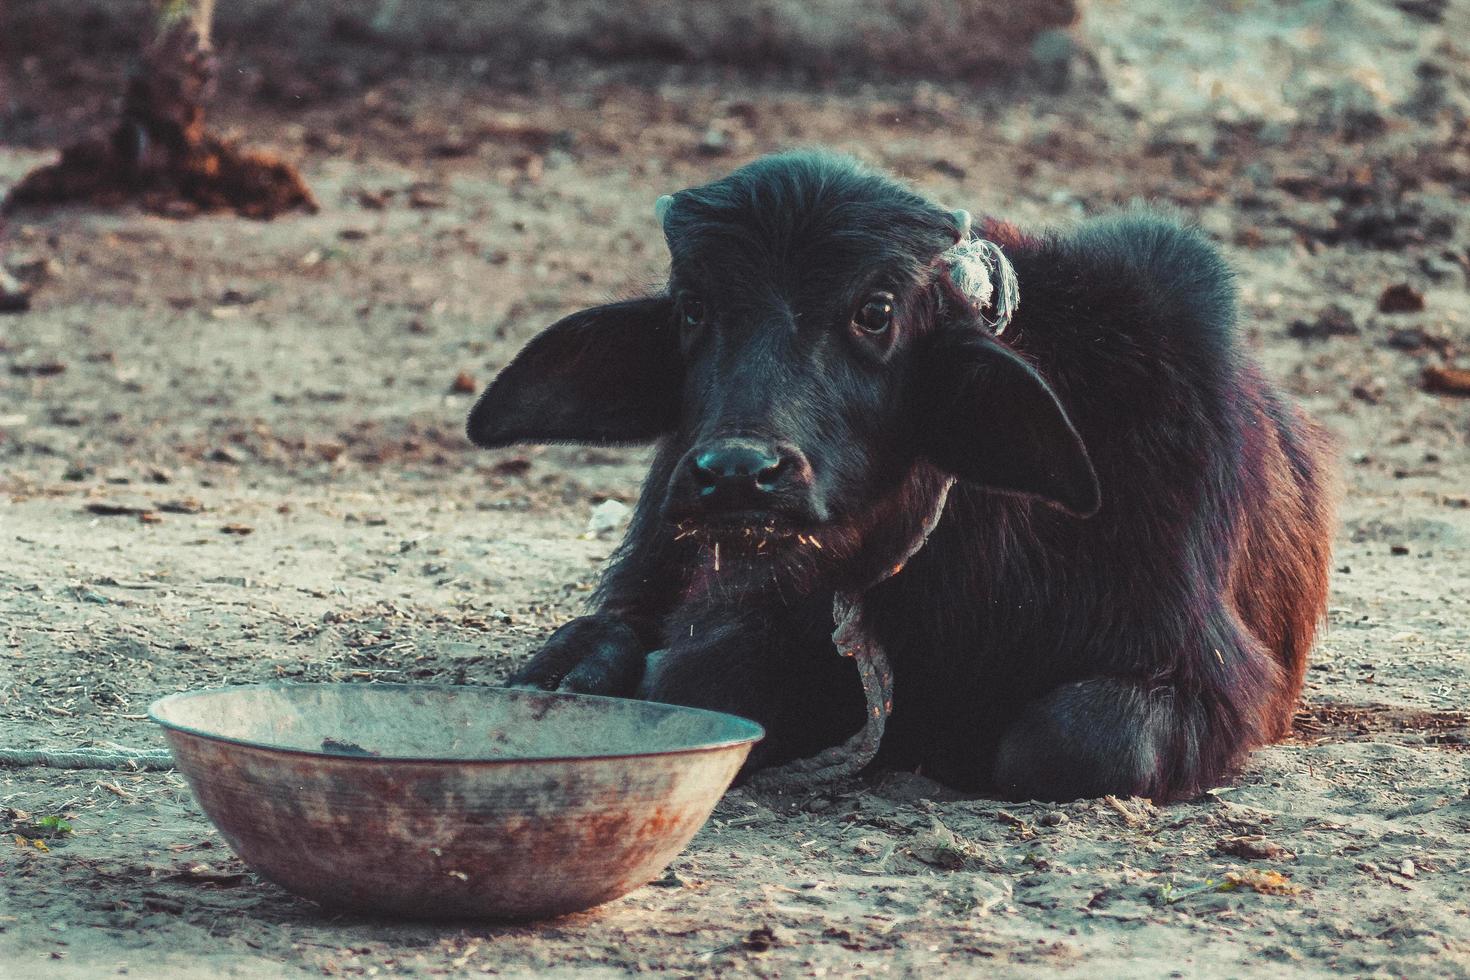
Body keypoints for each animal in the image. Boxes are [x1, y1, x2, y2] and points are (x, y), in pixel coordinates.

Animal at [464, 151, 1340, 805]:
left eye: (875, 311)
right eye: (692, 309)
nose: (738, 475)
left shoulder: (1211, 675)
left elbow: (1074, 743)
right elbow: (698, 669)